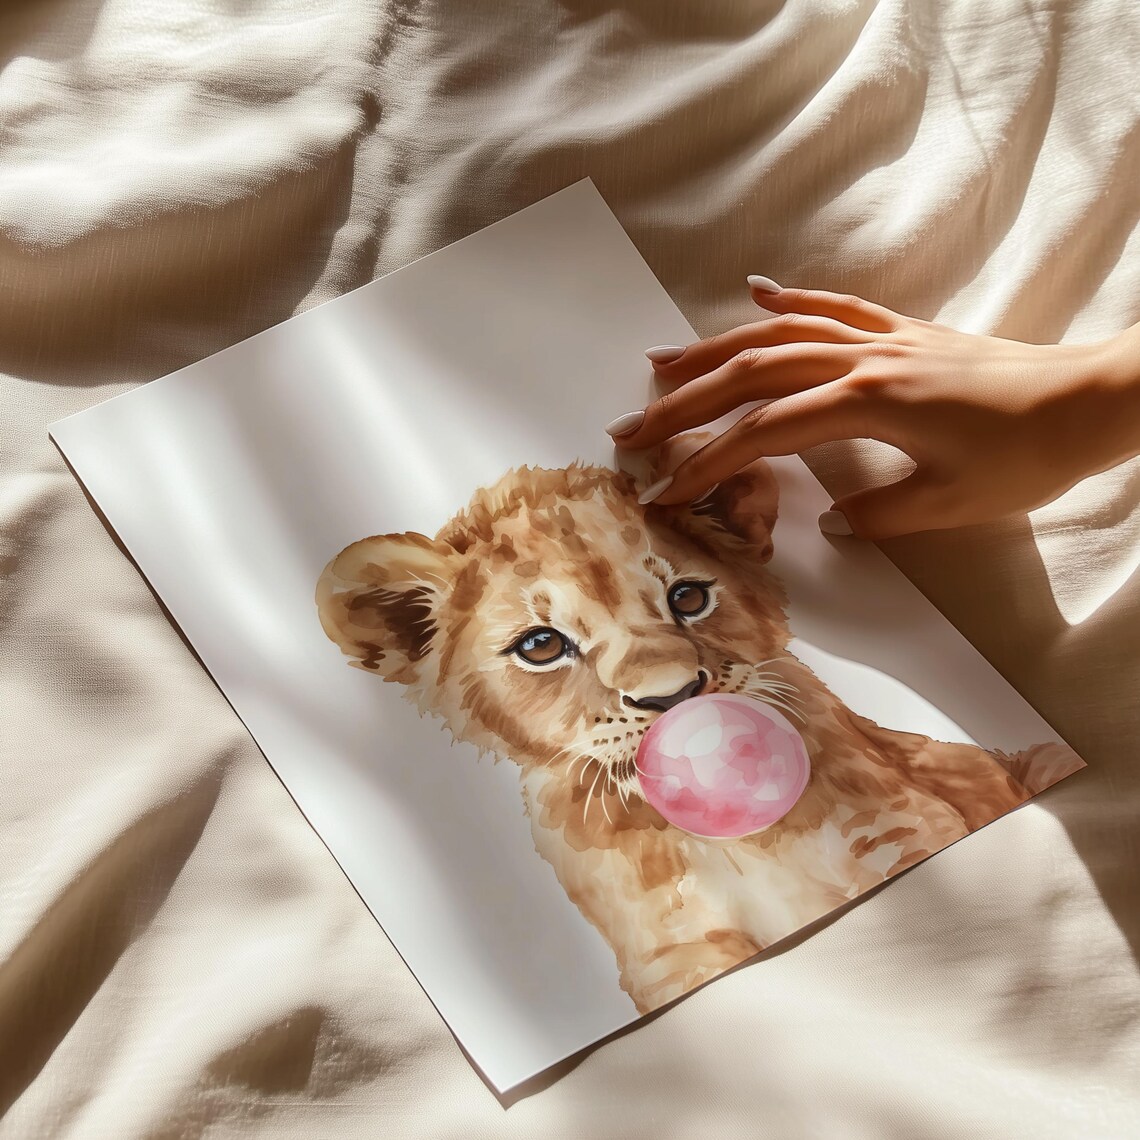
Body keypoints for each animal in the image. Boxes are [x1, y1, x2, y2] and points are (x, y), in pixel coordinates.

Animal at [315, 452, 1082, 1014]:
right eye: (541, 645)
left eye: (688, 597)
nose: (675, 697)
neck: (717, 837)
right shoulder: (675, 955)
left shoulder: (904, 831)